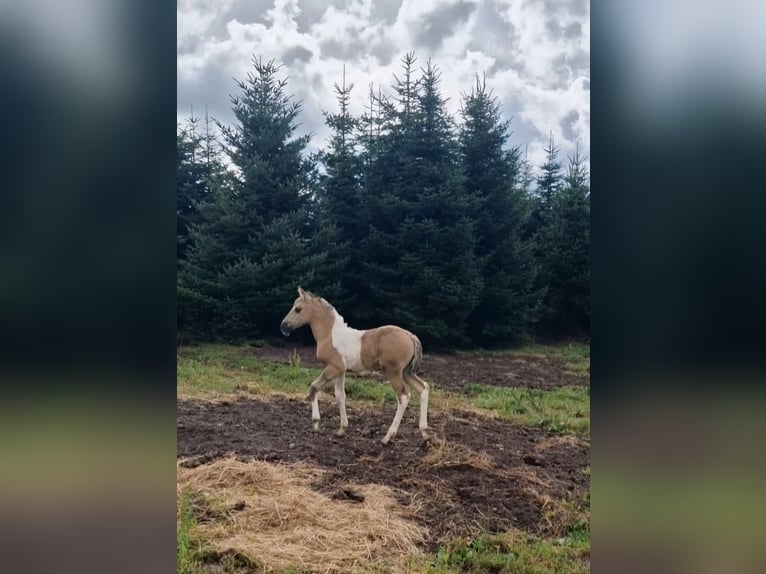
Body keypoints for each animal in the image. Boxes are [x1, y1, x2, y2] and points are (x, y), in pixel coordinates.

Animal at [280, 288, 432, 446]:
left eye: (298, 309)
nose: (283, 326)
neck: (331, 335)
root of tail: (410, 336)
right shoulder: (340, 371)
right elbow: (340, 396)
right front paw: (342, 429)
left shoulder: (333, 368)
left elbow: (314, 387)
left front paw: (316, 424)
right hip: (407, 372)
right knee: (423, 388)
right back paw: (425, 434)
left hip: (393, 372)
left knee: (403, 396)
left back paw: (388, 437)